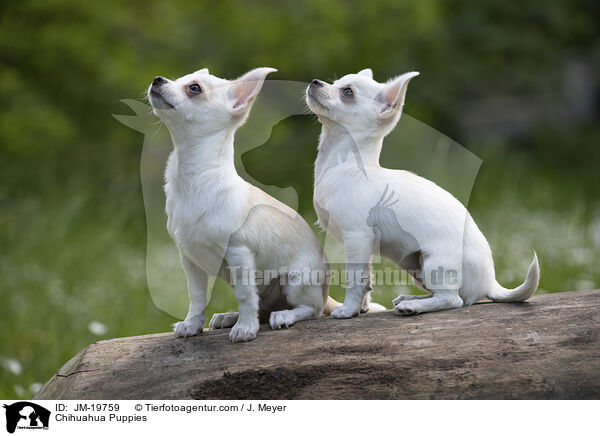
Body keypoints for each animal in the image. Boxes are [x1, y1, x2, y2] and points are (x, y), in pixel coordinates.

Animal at [146, 67, 332, 340]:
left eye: (194, 88)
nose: (157, 79)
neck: (195, 178)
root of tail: (326, 295)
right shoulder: (190, 259)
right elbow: (197, 295)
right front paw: (192, 324)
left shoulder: (239, 253)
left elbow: (245, 295)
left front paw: (245, 329)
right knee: (263, 307)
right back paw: (229, 316)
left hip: (297, 281)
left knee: (311, 309)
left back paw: (284, 315)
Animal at [304, 70, 540, 318]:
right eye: (336, 82)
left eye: (347, 92)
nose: (315, 82)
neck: (343, 165)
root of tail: (490, 283)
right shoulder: (365, 247)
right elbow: (367, 280)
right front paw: (363, 307)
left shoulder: (357, 238)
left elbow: (354, 279)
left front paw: (348, 309)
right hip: (416, 266)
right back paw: (411, 298)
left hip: (435, 263)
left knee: (452, 299)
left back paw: (414, 306)